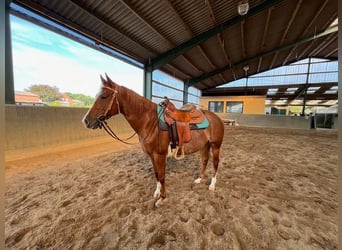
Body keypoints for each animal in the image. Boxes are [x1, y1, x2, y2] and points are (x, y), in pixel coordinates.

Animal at [82, 74, 224, 207]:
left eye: (104, 96)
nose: (86, 121)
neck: (150, 122)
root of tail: (216, 117)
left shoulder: (159, 155)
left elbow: (161, 175)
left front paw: (162, 198)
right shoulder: (152, 155)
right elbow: (156, 174)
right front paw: (157, 192)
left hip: (215, 146)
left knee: (215, 163)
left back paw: (212, 185)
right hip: (204, 145)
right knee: (205, 160)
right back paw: (199, 179)